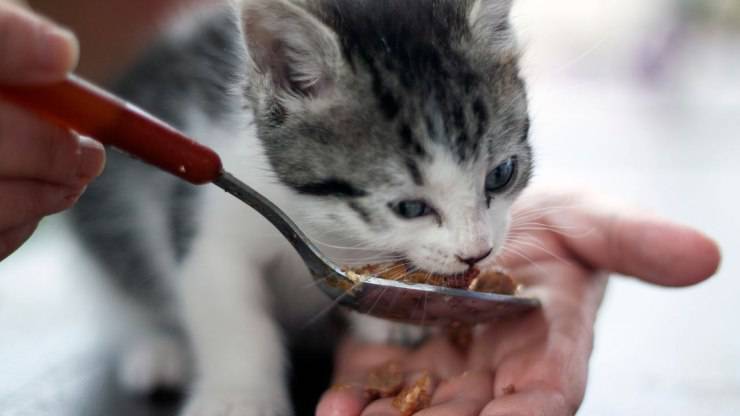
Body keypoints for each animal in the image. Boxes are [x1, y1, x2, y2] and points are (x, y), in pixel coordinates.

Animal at [71, 1, 532, 414]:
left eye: (502, 174)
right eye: (408, 207)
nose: (478, 252)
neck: (317, 219)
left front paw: (387, 318)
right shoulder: (210, 218)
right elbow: (230, 311)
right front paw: (240, 398)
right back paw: (159, 348)